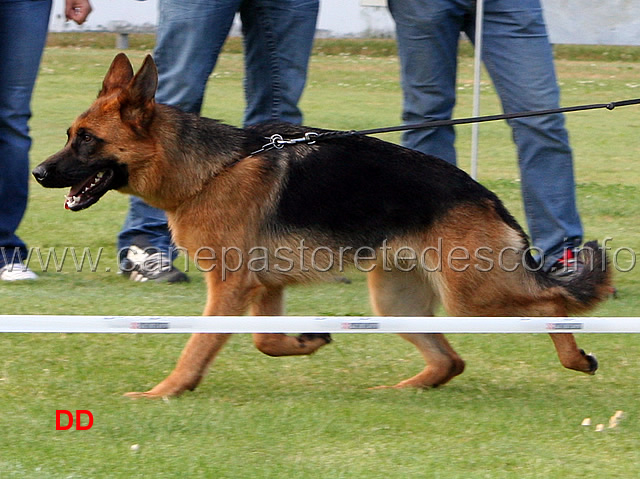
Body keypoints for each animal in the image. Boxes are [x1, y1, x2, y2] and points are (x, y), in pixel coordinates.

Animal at [33, 54, 608, 400]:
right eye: (69, 134)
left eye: (86, 140)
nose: (37, 172)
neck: (211, 169)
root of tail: (487, 197)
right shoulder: (264, 288)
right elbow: (266, 341)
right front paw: (309, 340)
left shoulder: (230, 287)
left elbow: (198, 343)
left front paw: (166, 391)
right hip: (396, 301)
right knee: (451, 360)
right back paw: (402, 391)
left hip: (472, 295)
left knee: (552, 303)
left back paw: (574, 356)